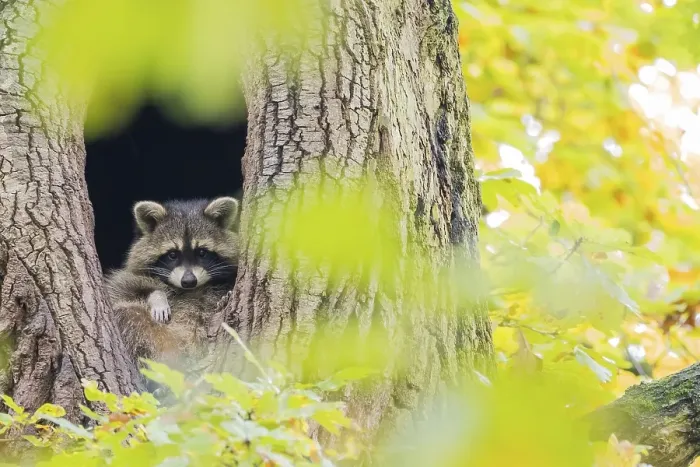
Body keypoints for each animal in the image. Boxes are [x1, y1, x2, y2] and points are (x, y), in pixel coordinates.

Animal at [106, 196, 240, 371]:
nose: (189, 281)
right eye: (172, 254)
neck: (193, 290)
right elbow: (122, 287)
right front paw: (157, 297)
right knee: (128, 314)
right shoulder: (128, 278)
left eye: (201, 252)